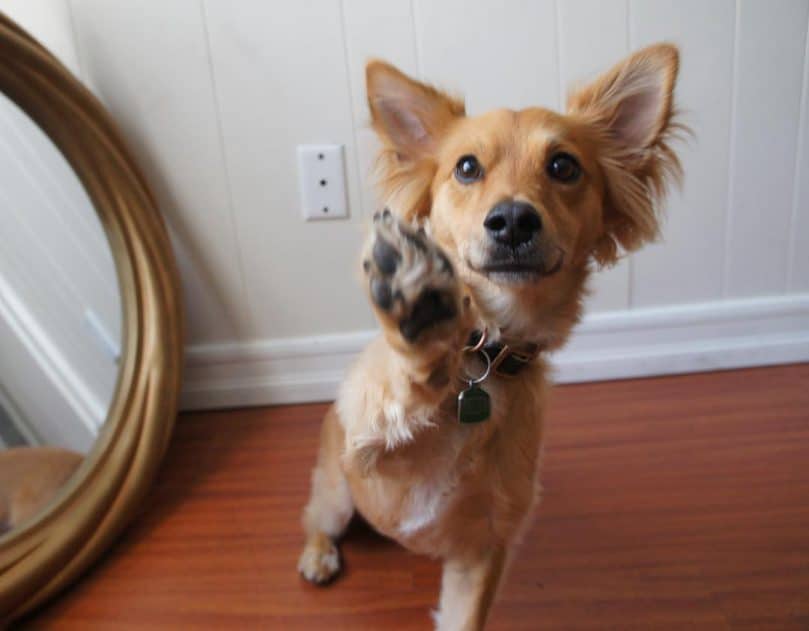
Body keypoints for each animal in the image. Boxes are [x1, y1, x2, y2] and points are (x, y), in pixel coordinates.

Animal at [300, 42, 680, 628]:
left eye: (563, 166)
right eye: (466, 167)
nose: (514, 220)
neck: (485, 357)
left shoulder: (484, 548)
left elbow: (465, 615)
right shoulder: (372, 460)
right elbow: (397, 382)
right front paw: (418, 306)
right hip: (338, 495)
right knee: (316, 518)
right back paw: (318, 554)